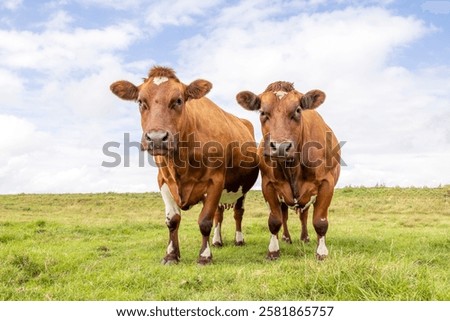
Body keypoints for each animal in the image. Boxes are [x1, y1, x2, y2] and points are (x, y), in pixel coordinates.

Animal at [109, 66, 258, 264]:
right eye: (140, 102)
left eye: (178, 100)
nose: (157, 138)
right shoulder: (164, 181)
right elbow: (173, 220)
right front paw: (171, 255)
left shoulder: (215, 181)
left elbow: (204, 221)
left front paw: (204, 256)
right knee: (219, 214)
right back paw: (217, 241)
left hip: (242, 189)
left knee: (237, 213)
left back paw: (239, 239)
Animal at [237, 81, 340, 258]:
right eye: (262, 112)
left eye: (298, 110)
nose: (280, 147)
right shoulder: (268, 185)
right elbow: (274, 220)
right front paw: (273, 250)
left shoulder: (327, 184)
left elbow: (320, 221)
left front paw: (321, 252)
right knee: (284, 217)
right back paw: (286, 238)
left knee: (304, 217)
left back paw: (305, 238)